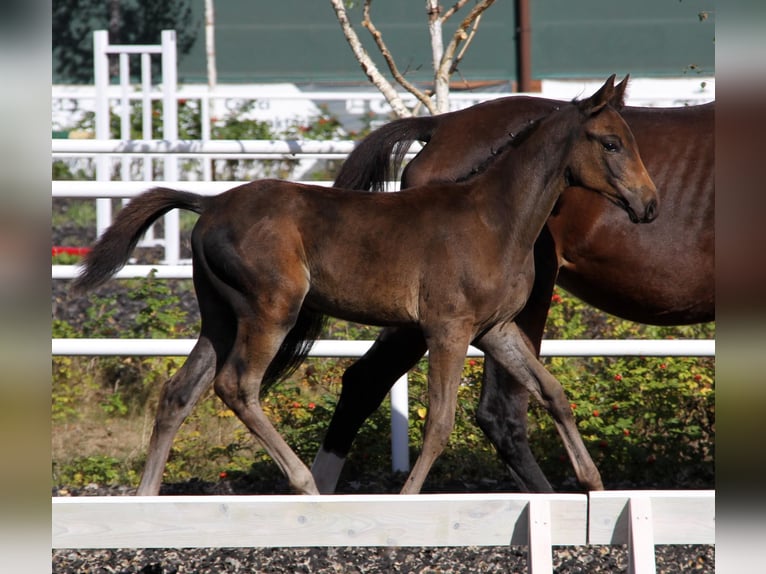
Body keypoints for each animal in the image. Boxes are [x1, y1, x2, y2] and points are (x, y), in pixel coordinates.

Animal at [73, 76, 657, 495]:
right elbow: (440, 421)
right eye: (611, 143)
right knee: (237, 386)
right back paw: (304, 485)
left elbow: (553, 392)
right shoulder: (448, 329)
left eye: (632, 141)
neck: (495, 218)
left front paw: (593, 484)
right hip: (270, 310)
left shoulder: (495, 329)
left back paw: (146, 500)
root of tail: (210, 203)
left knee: (180, 392)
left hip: (220, 316)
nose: (649, 206)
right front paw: (408, 499)